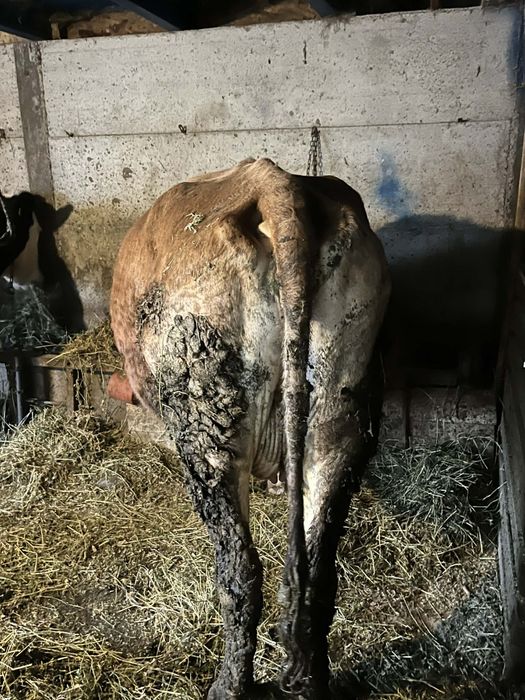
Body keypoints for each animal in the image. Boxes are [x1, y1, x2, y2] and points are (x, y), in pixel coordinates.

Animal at [110, 158, 390, 699]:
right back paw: (308, 680)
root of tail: (273, 183)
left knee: (240, 571)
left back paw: (228, 685)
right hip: (340, 402)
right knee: (317, 567)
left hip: (208, 423)